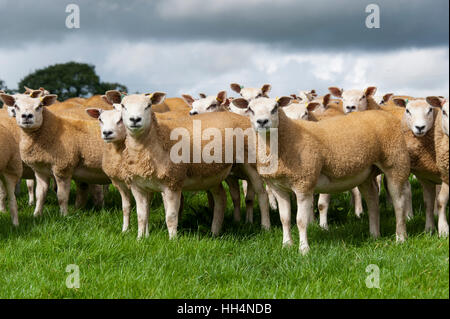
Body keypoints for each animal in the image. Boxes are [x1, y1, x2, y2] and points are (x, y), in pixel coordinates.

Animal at [103, 90, 268, 240]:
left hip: (251, 163)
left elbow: (171, 216)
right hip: (212, 173)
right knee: (221, 197)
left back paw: (265, 227)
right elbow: (141, 216)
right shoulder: (138, 186)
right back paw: (215, 232)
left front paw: (172, 241)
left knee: (262, 193)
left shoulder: (172, 182)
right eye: (123, 106)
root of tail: (236, 115)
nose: (135, 119)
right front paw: (140, 239)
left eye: (148, 105)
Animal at [232, 96, 412, 254]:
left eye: (275, 108)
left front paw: (304, 250)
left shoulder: (303, 183)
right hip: (366, 172)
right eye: (250, 109)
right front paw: (286, 245)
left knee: (399, 202)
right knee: (372, 198)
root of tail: (381, 113)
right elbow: (285, 219)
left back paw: (401, 237)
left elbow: (300, 221)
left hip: (396, 163)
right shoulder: (278, 187)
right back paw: (374, 235)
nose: (262, 122)